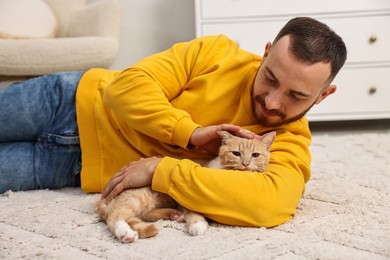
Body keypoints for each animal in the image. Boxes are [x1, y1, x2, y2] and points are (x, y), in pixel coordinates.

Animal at [96, 131, 276, 243]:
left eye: (255, 155)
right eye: (236, 153)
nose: (245, 164)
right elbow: (194, 211)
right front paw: (197, 225)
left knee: (144, 214)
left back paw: (174, 215)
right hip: (138, 196)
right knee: (116, 216)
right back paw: (125, 234)